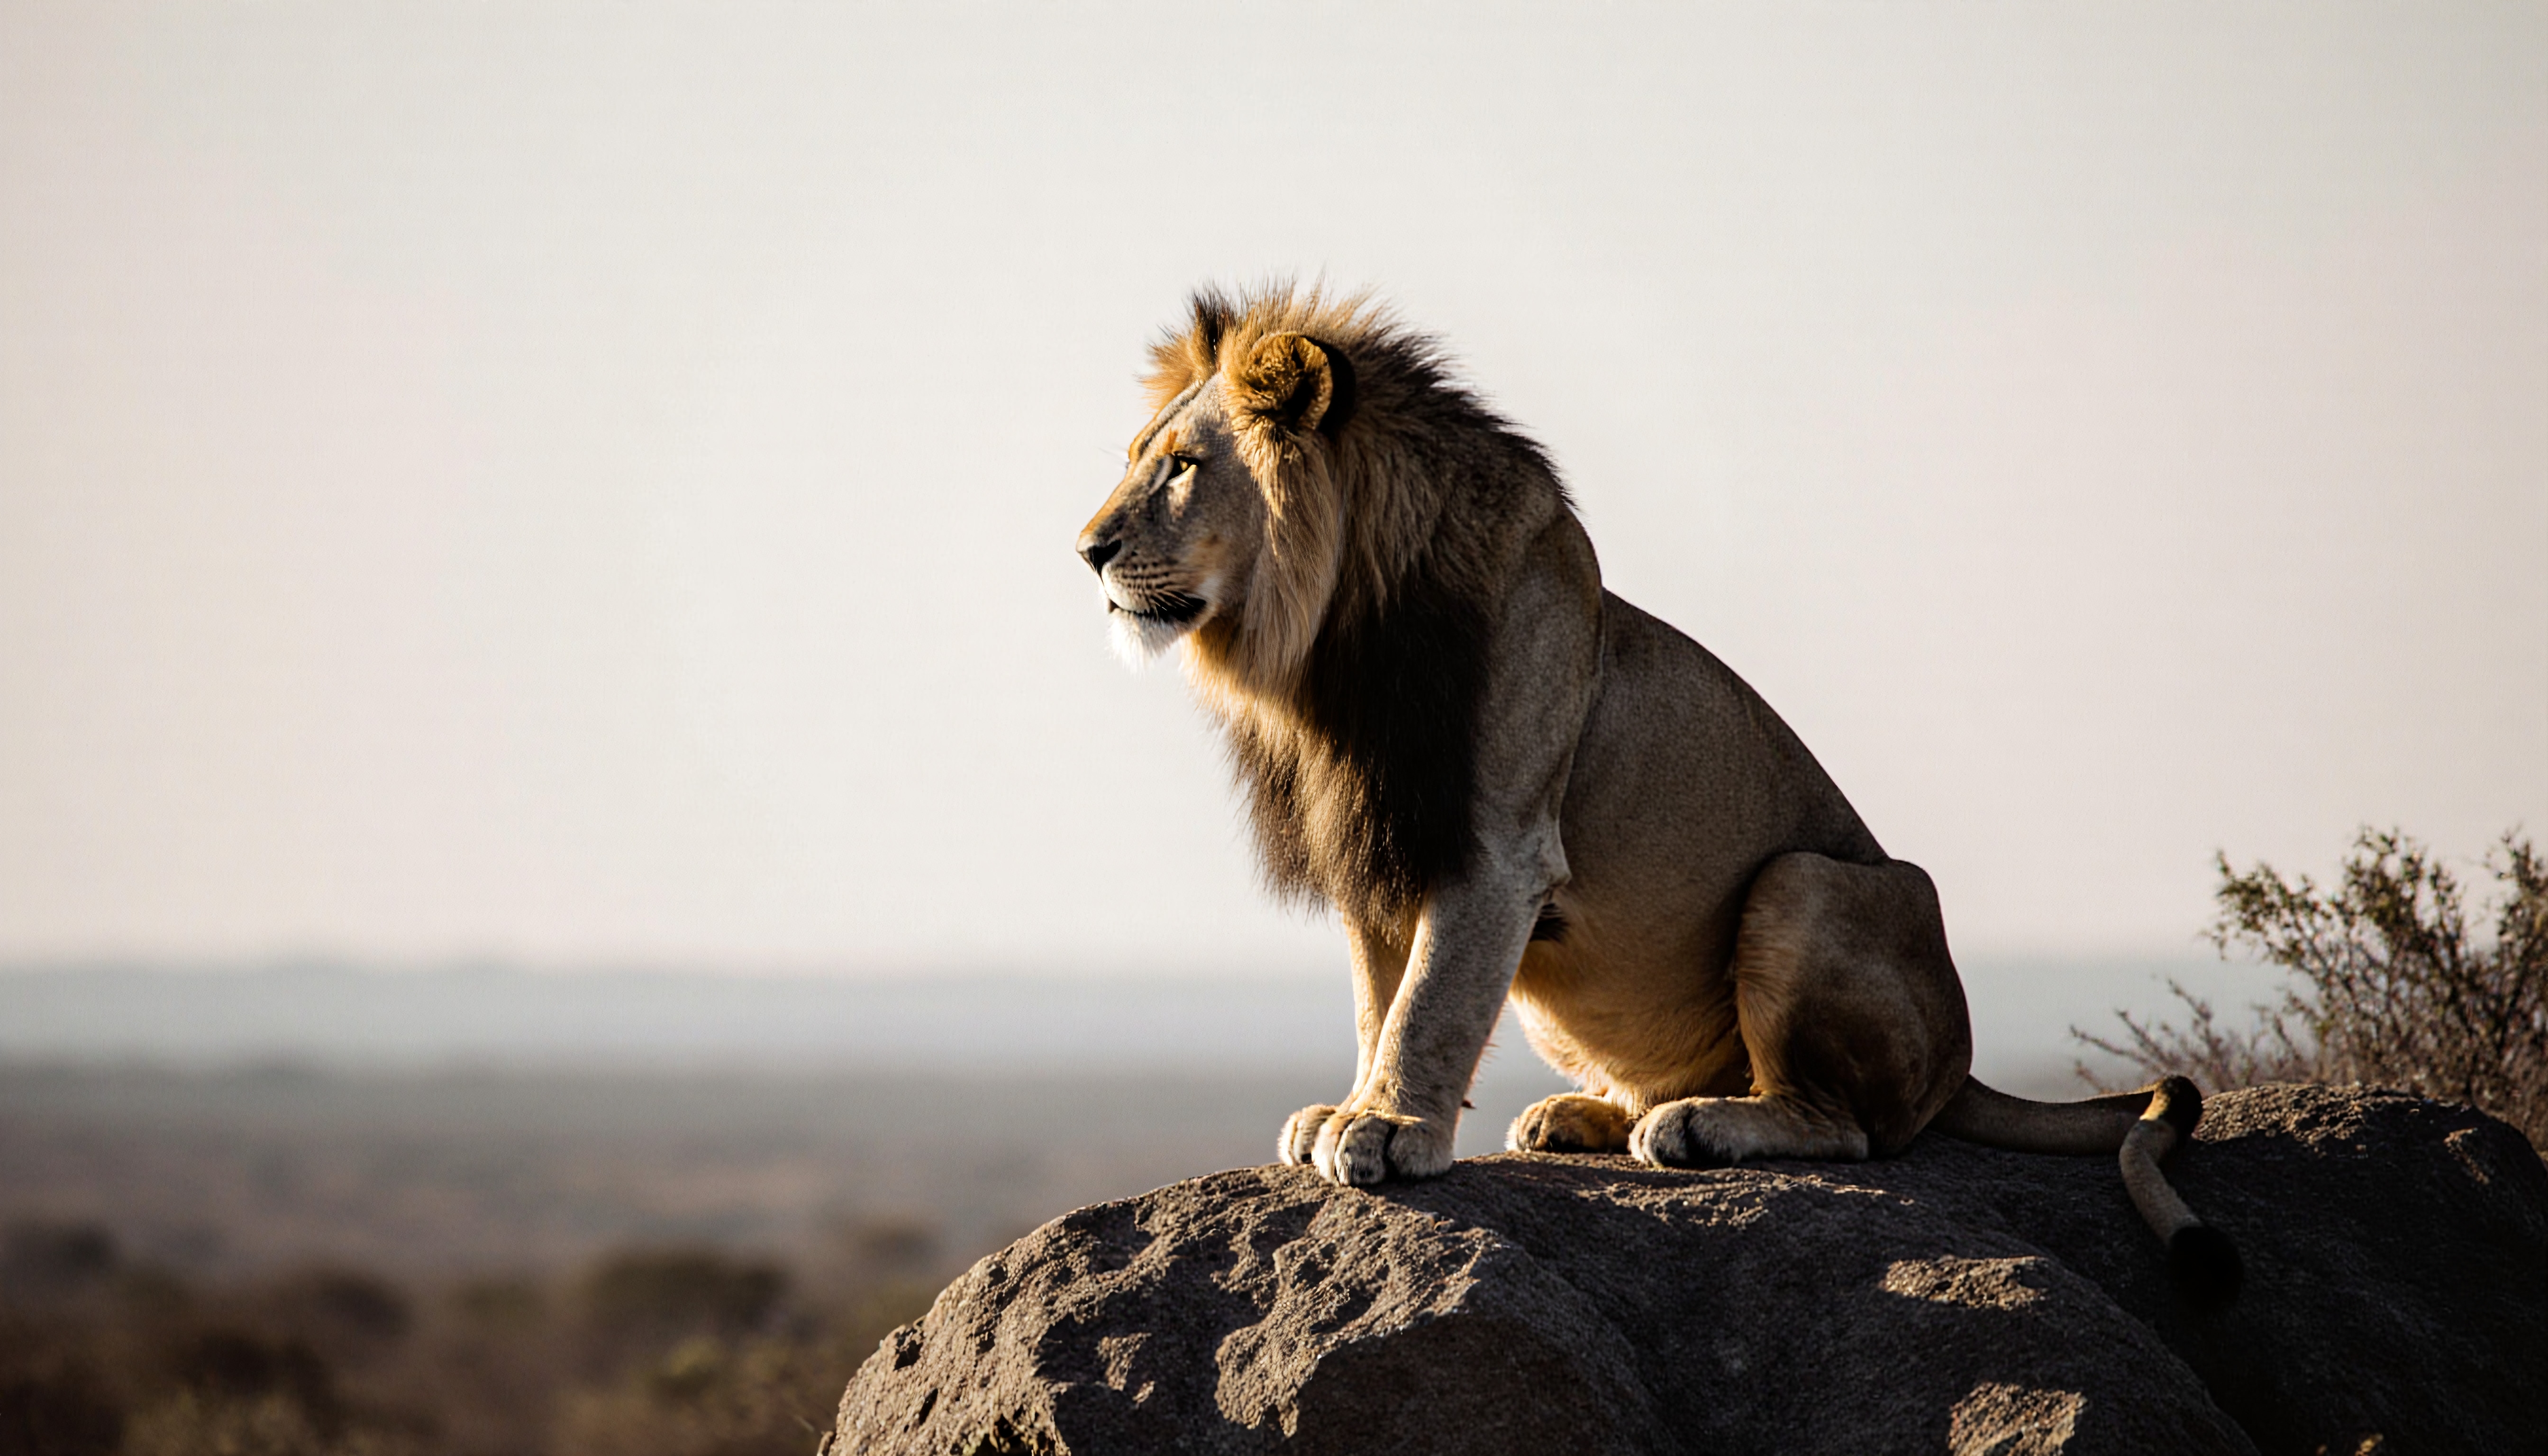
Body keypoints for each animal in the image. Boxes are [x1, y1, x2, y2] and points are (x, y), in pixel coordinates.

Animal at [1075, 284, 2241, 1300]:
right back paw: (1582, 1116)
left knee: (1857, 1130)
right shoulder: (1380, 841)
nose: (1086, 550)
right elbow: (1380, 999)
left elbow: (1431, 1003)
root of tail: (1964, 1058)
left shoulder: (1495, 846)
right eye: (1137, 460)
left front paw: (1392, 1129)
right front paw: (1352, 1109)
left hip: (1803, 883)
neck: (1332, 651)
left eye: (1181, 469)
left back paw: (1703, 1125)